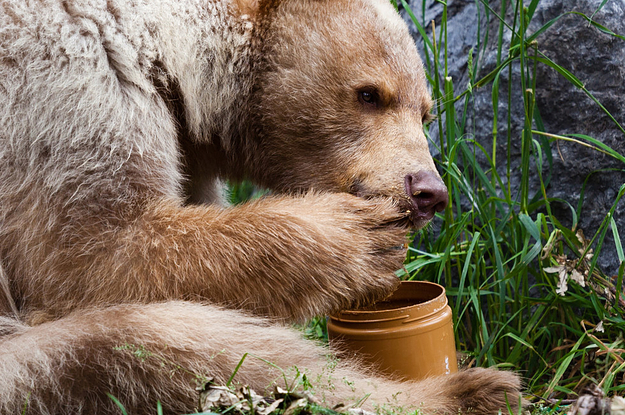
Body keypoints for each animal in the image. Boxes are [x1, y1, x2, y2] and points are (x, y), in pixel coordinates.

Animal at [0, 0, 520, 414]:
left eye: (426, 111)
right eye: (370, 94)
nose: (428, 191)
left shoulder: (185, 147)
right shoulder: (66, 83)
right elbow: (92, 251)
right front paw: (360, 239)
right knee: (151, 343)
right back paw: (461, 392)